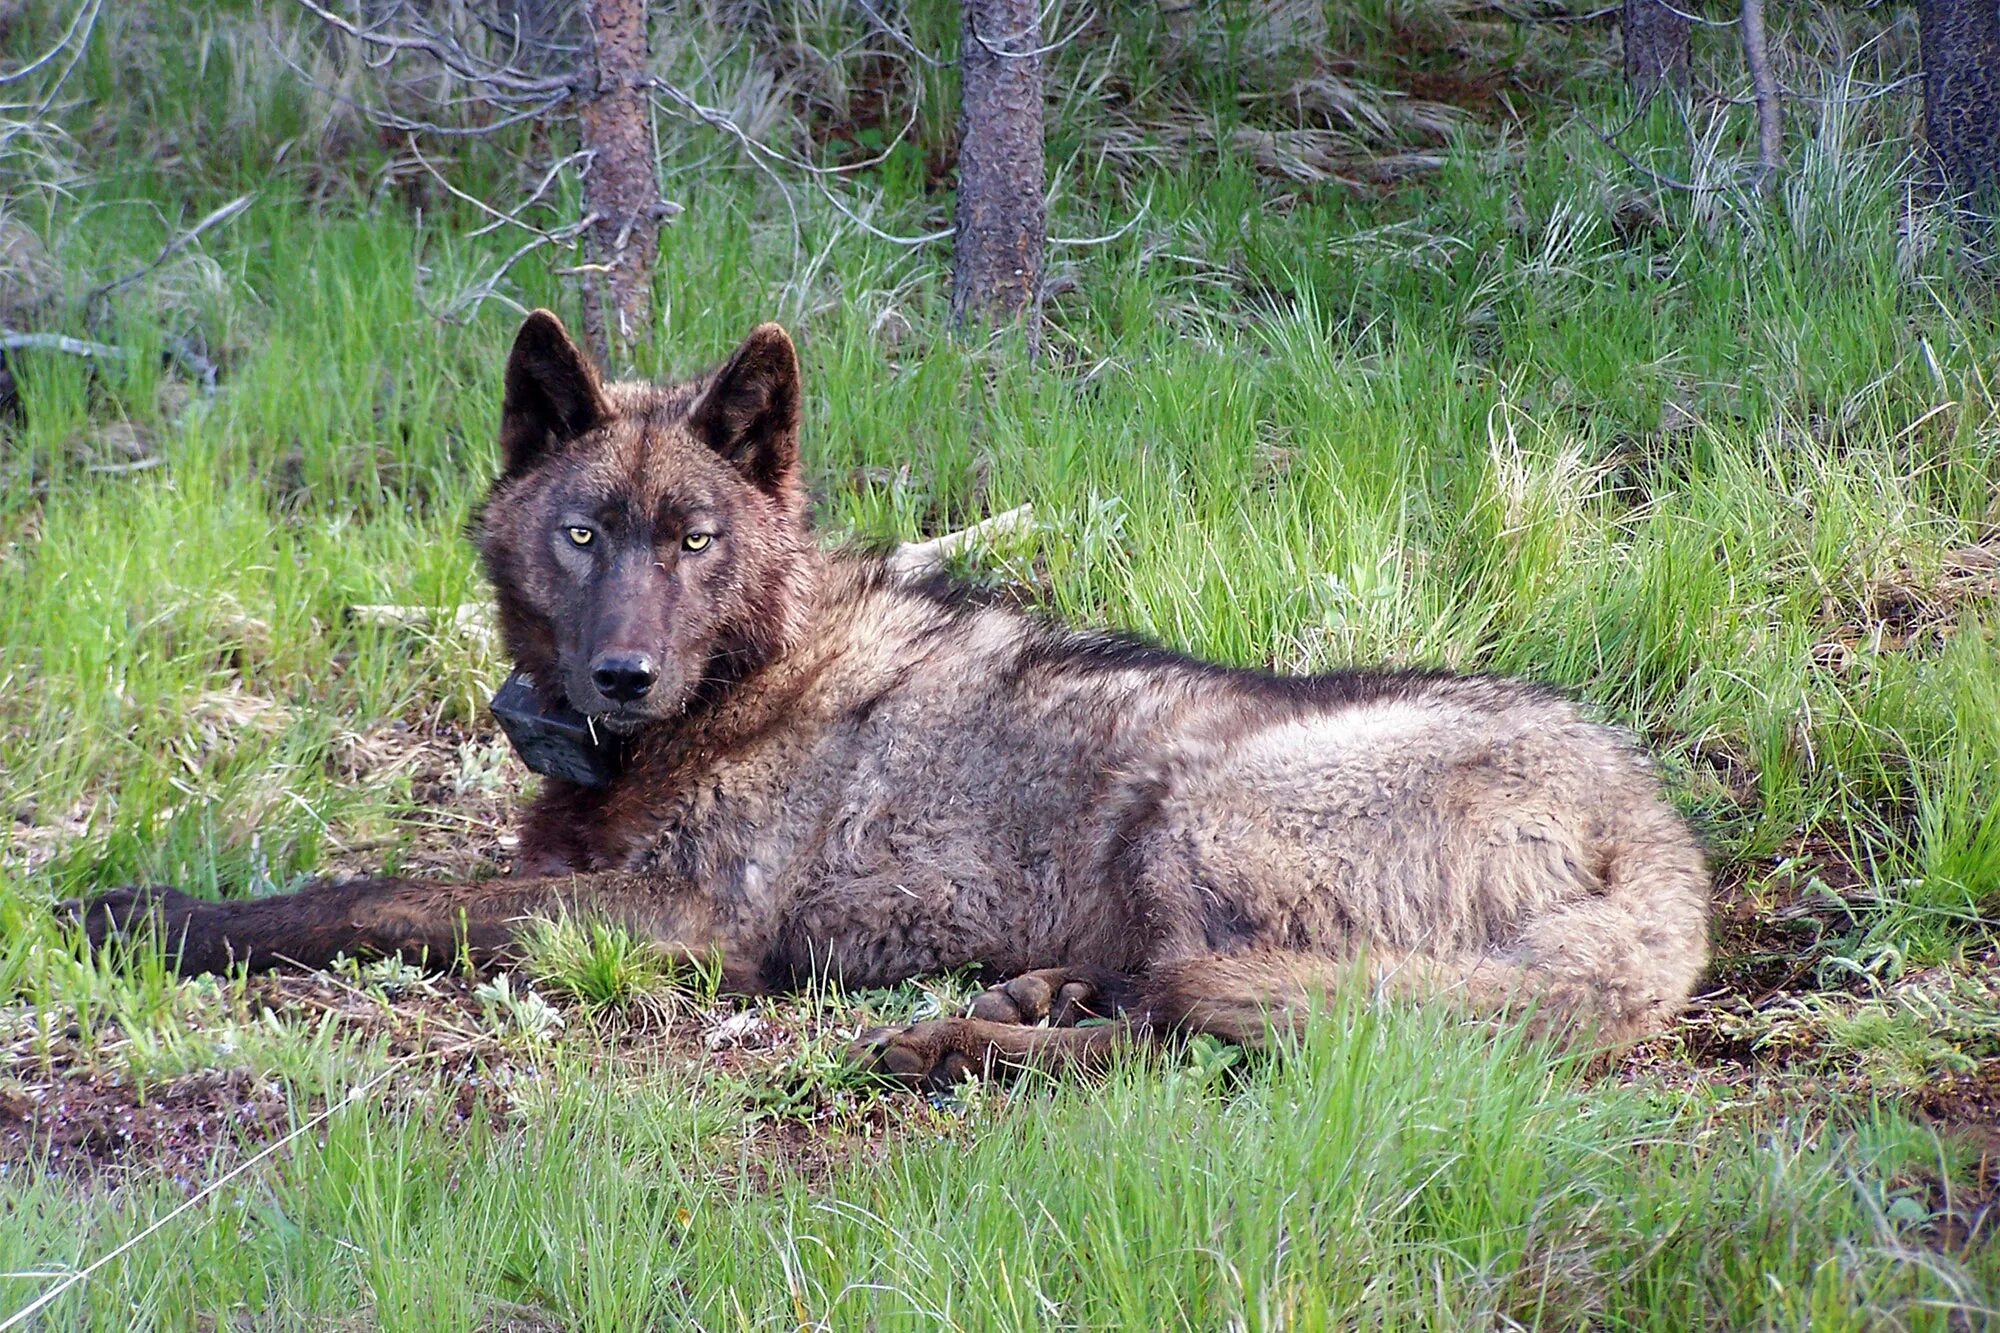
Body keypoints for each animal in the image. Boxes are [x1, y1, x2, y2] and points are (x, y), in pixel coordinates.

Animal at [74, 316, 1704, 1088]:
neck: (743, 678)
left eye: (696, 542)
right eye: (587, 535)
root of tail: (1659, 831)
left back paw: (953, 1044)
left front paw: (154, 914)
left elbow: (377, 896)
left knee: (1208, 1027)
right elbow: (407, 880)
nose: (622, 675)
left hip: (1190, 805)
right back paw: (1028, 998)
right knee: (1194, 1004)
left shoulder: (681, 925)